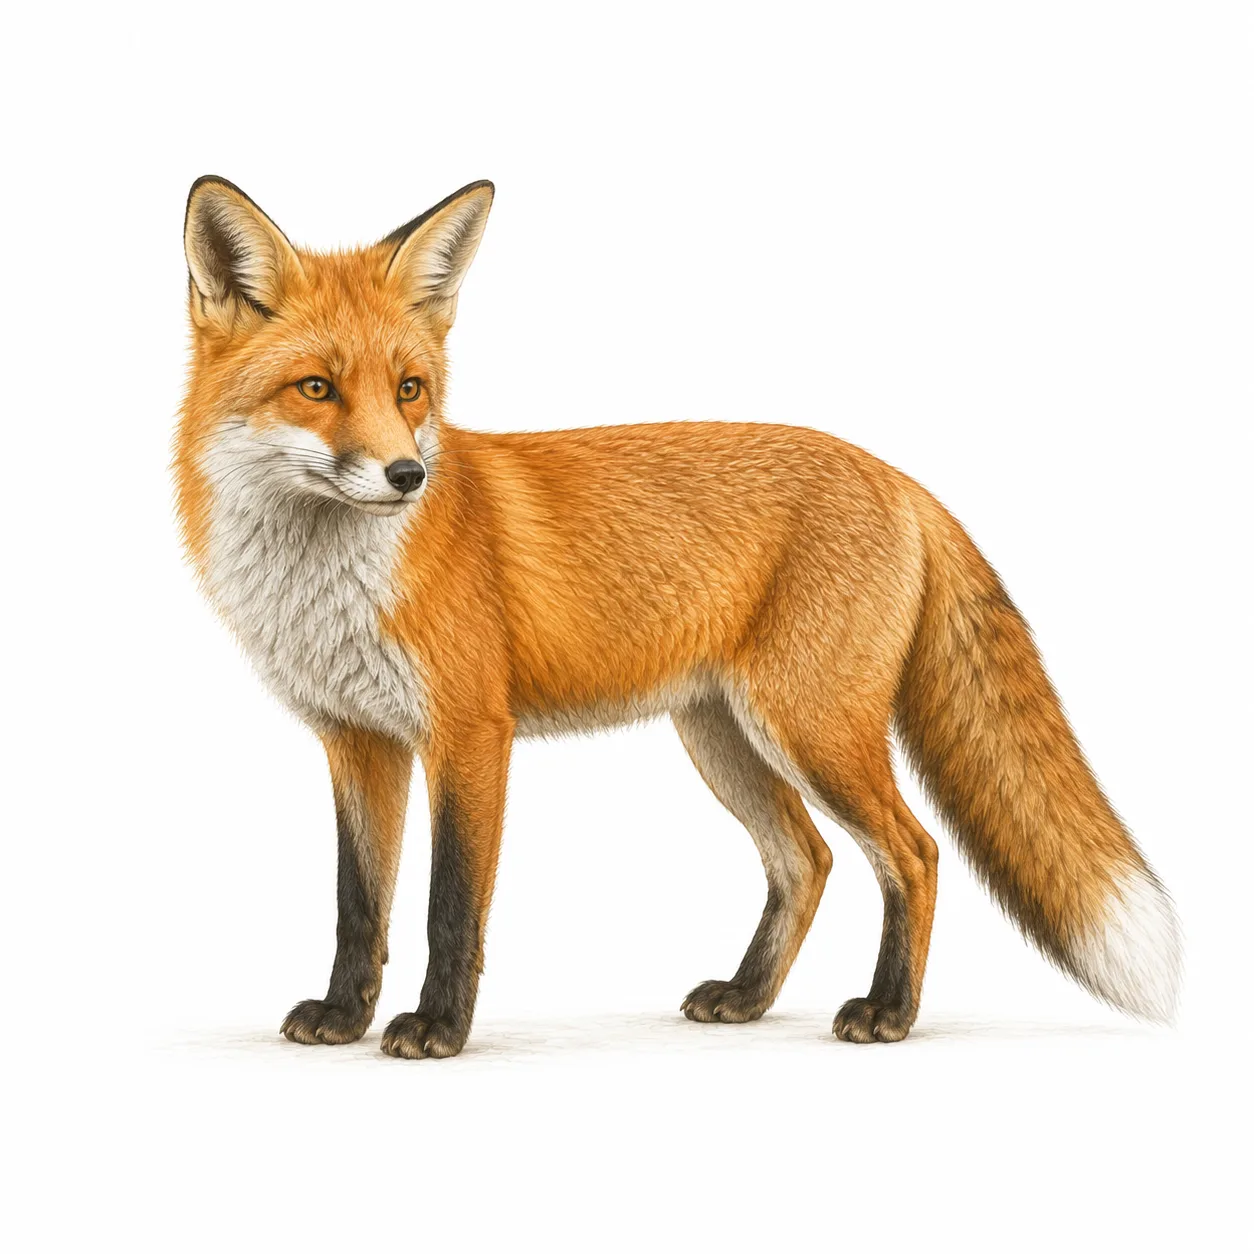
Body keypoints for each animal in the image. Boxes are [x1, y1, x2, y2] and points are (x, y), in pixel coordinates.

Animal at [174, 176, 1182, 1058]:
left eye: (410, 390)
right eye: (317, 389)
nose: (408, 475)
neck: (329, 585)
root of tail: (896, 476)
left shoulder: (469, 733)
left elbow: (448, 906)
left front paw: (438, 1030)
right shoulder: (358, 740)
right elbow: (359, 904)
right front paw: (345, 1017)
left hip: (811, 728)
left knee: (916, 852)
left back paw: (889, 1011)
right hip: (722, 736)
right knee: (807, 860)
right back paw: (747, 996)